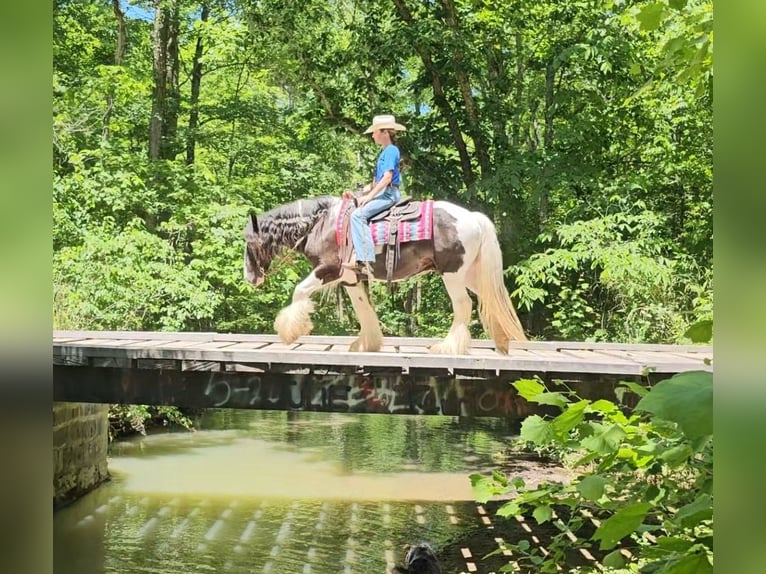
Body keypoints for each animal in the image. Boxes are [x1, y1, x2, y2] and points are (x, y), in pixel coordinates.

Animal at [246, 196, 528, 354]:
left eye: (248, 240)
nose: (250, 279)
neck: (322, 225)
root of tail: (473, 217)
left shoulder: (329, 269)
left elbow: (299, 291)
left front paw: (289, 332)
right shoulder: (351, 278)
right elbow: (363, 309)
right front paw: (366, 344)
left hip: (453, 275)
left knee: (463, 305)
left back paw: (448, 347)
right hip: (469, 274)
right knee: (491, 298)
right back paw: (502, 343)